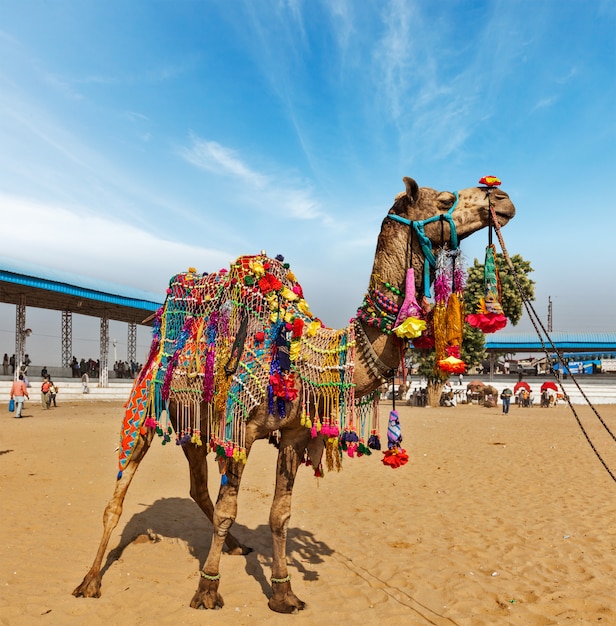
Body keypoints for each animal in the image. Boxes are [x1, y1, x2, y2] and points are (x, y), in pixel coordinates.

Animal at [72, 174, 516, 608]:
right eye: (444, 200)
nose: (502, 197)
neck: (306, 356)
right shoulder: (241, 430)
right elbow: (229, 509)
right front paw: (207, 590)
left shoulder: (293, 434)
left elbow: (279, 513)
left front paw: (284, 592)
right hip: (147, 402)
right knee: (121, 492)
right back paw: (90, 580)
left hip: (194, 422)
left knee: (198, 486)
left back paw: (235, 547)